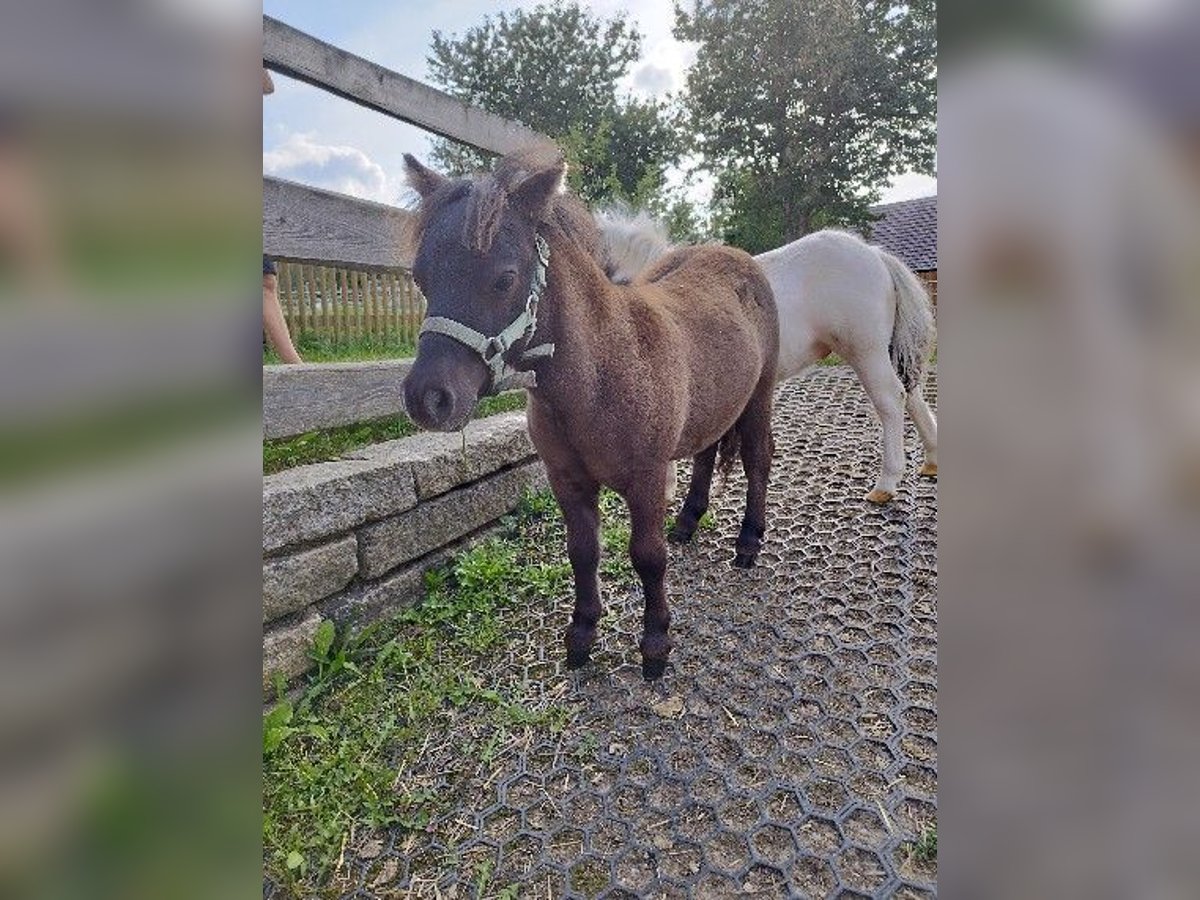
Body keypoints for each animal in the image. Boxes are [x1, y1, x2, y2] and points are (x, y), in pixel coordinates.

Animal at [600, 212, 936, 508]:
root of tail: (876, 256)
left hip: (867, 352)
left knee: (892, 400)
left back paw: (886, 484)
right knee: (913, 396)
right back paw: (930, 461)